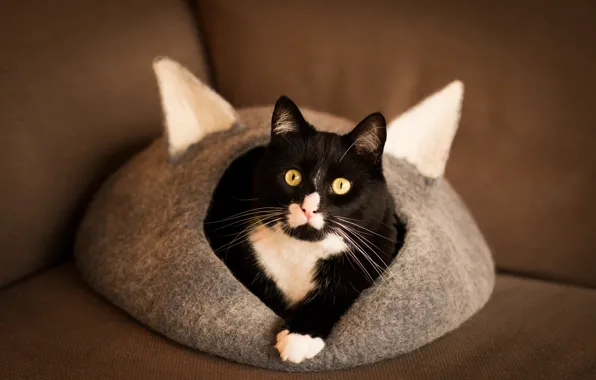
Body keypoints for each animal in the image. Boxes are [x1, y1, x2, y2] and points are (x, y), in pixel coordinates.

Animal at [205, 96, 406, 364]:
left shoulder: (377, 248)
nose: (308, 208)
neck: (301, 251)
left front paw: (298, 338)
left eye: (341, 185)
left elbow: (339, 293)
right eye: (292, 176)